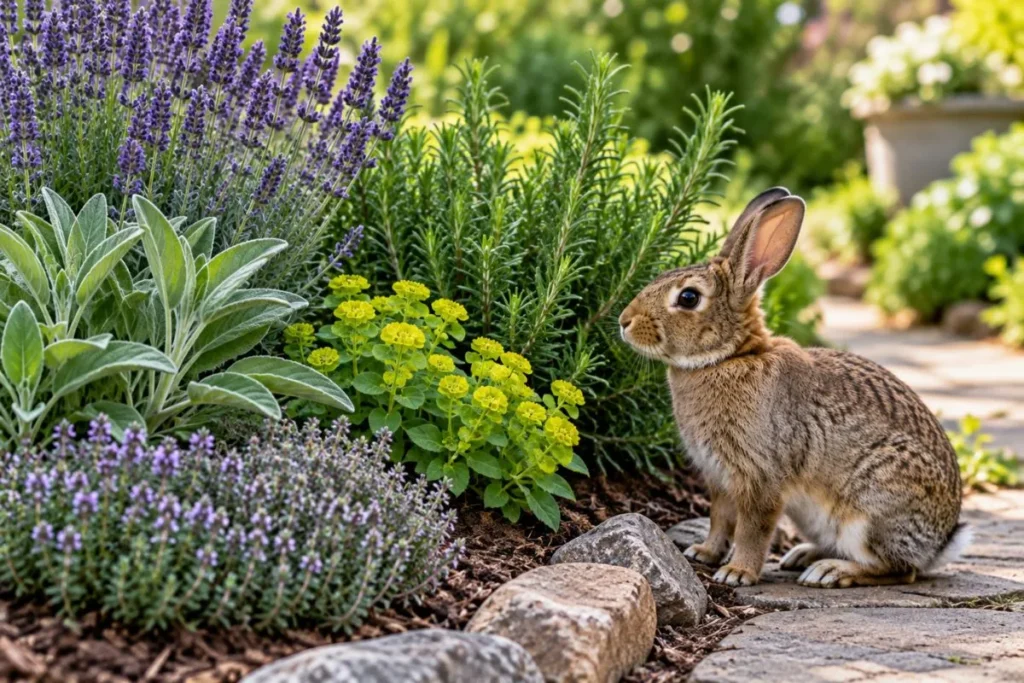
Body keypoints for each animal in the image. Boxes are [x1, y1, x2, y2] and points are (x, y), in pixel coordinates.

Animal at [618, 188, 968, 588]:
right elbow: (719, 519)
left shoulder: (762, 476)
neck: (730, 358)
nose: (624, 321)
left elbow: (753, 529)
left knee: (900, 569)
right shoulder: (719, 478)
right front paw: (703, 554)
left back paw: (830, 571)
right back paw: (803, 556)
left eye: (688, 298)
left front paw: (737, 573)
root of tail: (940, 543)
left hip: (871, 511)